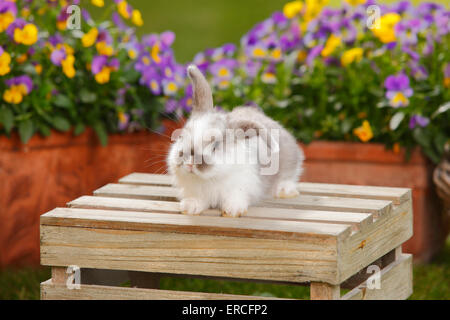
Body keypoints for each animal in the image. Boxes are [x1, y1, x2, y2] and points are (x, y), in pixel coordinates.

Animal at [167, 64, 304, 218]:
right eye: (181, 136)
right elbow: (197, 199)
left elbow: (236, 198)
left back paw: (285, 191)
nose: (190, 163)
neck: (210, 177)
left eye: (215, 147)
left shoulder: (241, 186)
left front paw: (232, 211)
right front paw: (189, 207)